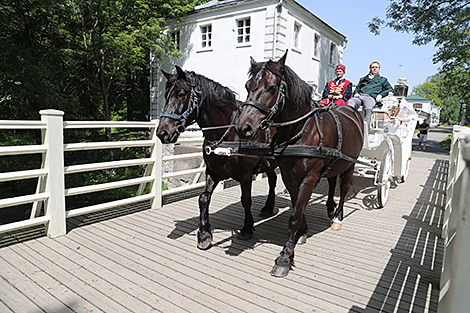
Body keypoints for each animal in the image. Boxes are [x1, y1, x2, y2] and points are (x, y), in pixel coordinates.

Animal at [156, 65, 278, 249]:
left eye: (181, 94)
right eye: (165, 95)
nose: (162, 132)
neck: (228, 132)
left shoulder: (246, 175)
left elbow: (246, 200)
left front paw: (247, 228)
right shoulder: (213, 171)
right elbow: (203, 198)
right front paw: (204, 234)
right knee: (272, 179)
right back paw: (268, 207)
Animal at [235, 52, 364, 276]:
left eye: (272, 88)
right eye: (247, 85)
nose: (244, 127)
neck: (301, 131)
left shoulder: (309, 177)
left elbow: (294, 216)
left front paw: (285, 257)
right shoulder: (289, 176)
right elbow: (297, 206)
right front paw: (302, 232)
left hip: (349, 164)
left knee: (344, 187)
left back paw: (338, 216)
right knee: (332, 183)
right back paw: (330, 208)